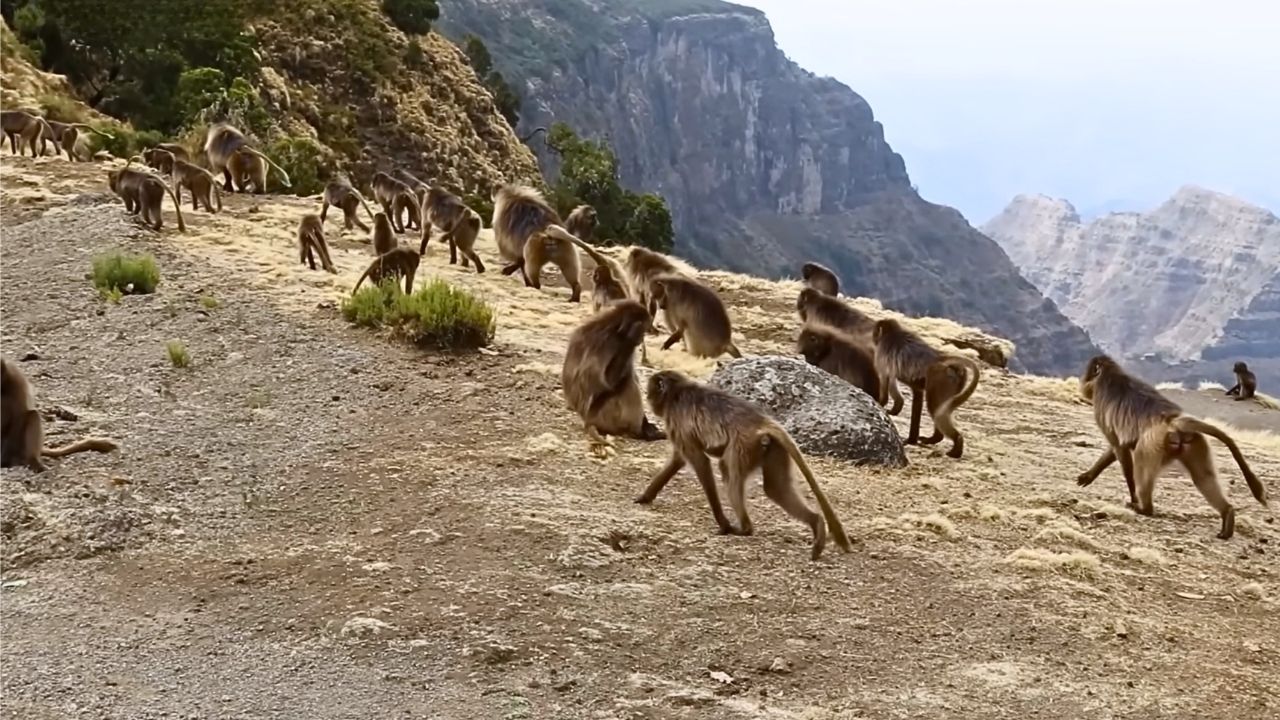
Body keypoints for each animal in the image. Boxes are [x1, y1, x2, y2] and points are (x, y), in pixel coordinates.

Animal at [562, 300, 666, 454]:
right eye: (642, 330)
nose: (641, 339)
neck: (614, 328)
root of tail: (587, 420)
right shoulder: (609, 342)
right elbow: (599, 384)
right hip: (603, 416)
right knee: (627, 383)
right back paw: (638, 432)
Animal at [635, 370, 854, 560]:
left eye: (651, 391)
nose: (649, 400)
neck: (677, 392)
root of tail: (762, 422)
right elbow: (678, 460)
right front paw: (646, 497)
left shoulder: (677, 421)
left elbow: (700, 462)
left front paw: (723, 524)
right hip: (772, 449)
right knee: (775, 489)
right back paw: (817, 523)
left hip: (744, 445)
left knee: (728, 472)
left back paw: (744, 529)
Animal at [872, 319, 979, 458]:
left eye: (876, 331)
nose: (873, 336)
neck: (893, 333)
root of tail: (942, 359)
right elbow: (906, 389)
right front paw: (896, 410)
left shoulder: (882, 357)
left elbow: (886, 383)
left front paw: (881, 403)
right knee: (938, 408)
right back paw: (934, 439)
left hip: (939, 380)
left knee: (935, 408)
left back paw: (956, 445)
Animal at [1075, 355, 1266, 539]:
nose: (1083, 380)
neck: (1110, 374)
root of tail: (1173, 421)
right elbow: (1117, 448)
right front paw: (1088, 476)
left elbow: (1118, 448)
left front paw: (1133, 497)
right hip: (1193, 443)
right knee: (1203, 478)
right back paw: (1227, 515)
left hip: (1151, 446)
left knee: (1141, 470)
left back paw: (1144, 508)